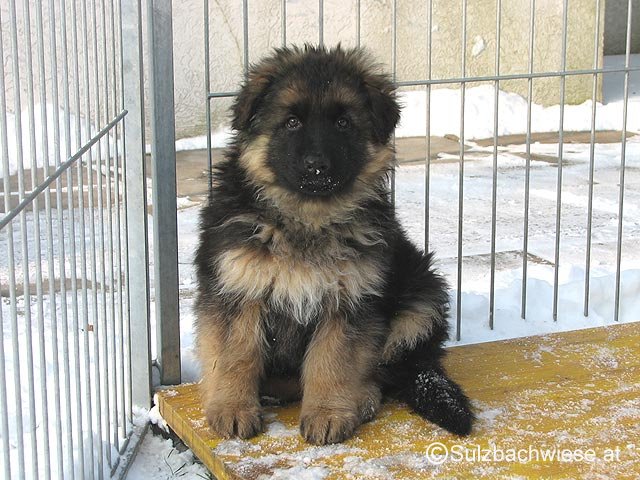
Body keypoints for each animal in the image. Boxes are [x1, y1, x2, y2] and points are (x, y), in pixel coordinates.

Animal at [195, 45, 474, 445]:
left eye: (343, 123)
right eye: (291, 122)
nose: (317, 167)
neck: (307, 219)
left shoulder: (349, 298)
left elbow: (332, 360)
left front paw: (327, 412)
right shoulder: (237, 287)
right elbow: (237, 354)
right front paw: (232, 408)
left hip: (422, 297)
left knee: (388, 367)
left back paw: (363, 397)